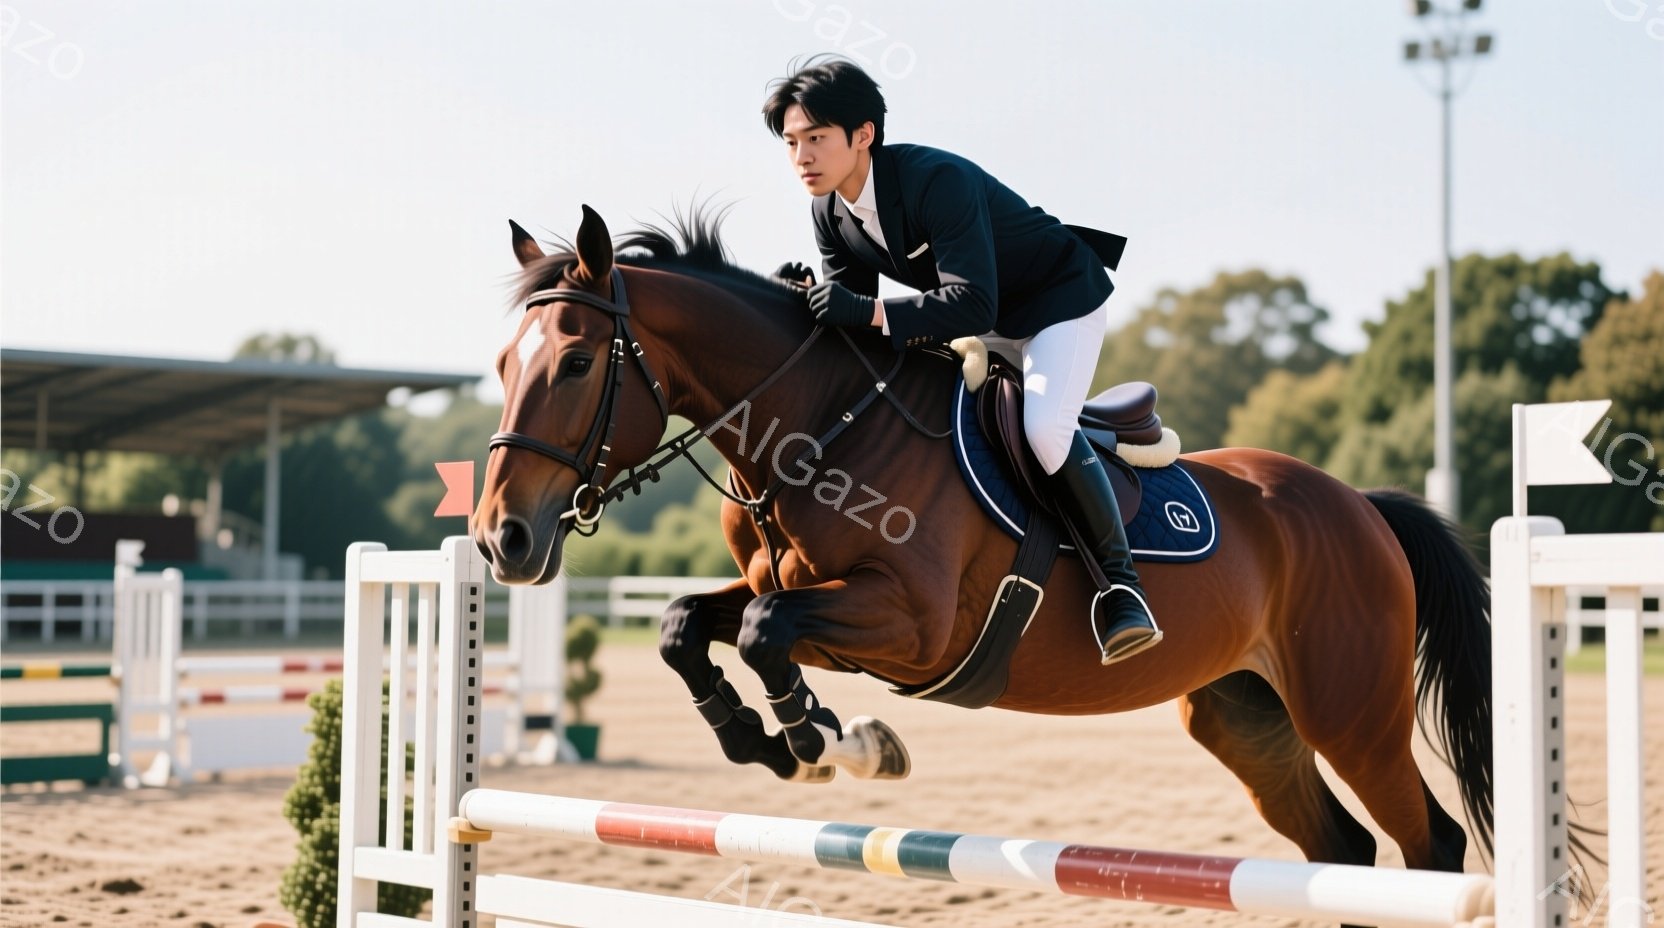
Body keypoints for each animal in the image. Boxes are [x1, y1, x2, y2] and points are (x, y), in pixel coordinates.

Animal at [471, 204, 1492, 883]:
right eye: (502, 363)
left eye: (574, 362)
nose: (500, 539)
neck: (821, 427)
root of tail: (1359, 504)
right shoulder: (798, 595)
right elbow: (688, 623)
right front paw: (772, 743)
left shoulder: (911, 625)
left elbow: (765, 631)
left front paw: (829, 739)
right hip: (1245, 716)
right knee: (1340, 849)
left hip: (1352, 712)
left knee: (1430, 844)